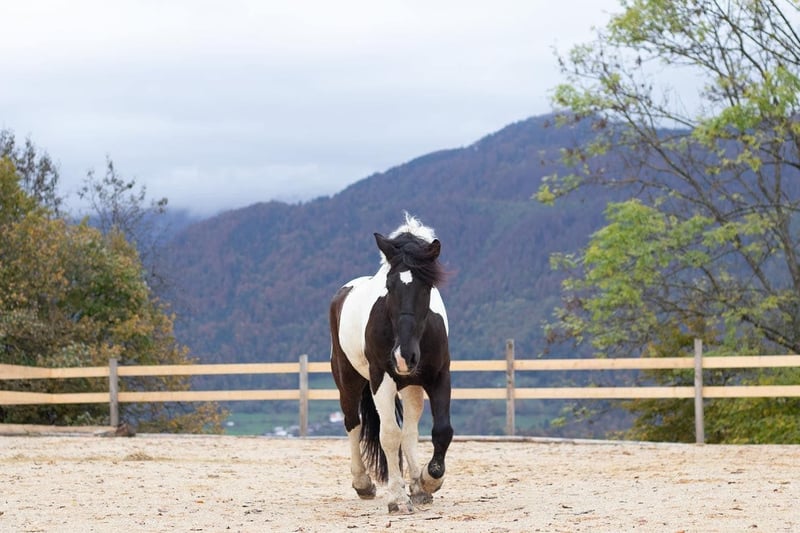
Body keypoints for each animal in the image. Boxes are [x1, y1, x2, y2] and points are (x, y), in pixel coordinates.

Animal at [329, 213, 453, 514]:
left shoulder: (439, 376)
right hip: (348, 380)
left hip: (410, 387)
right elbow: (388, 435)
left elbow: (441, 431)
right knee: (353, 423)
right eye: (389, 285)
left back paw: (418, 486)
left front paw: (428, 480)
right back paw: (363, 483)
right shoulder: (382, 379)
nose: (403, 356)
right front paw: (397, 497)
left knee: (409, 431)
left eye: (427, 286)